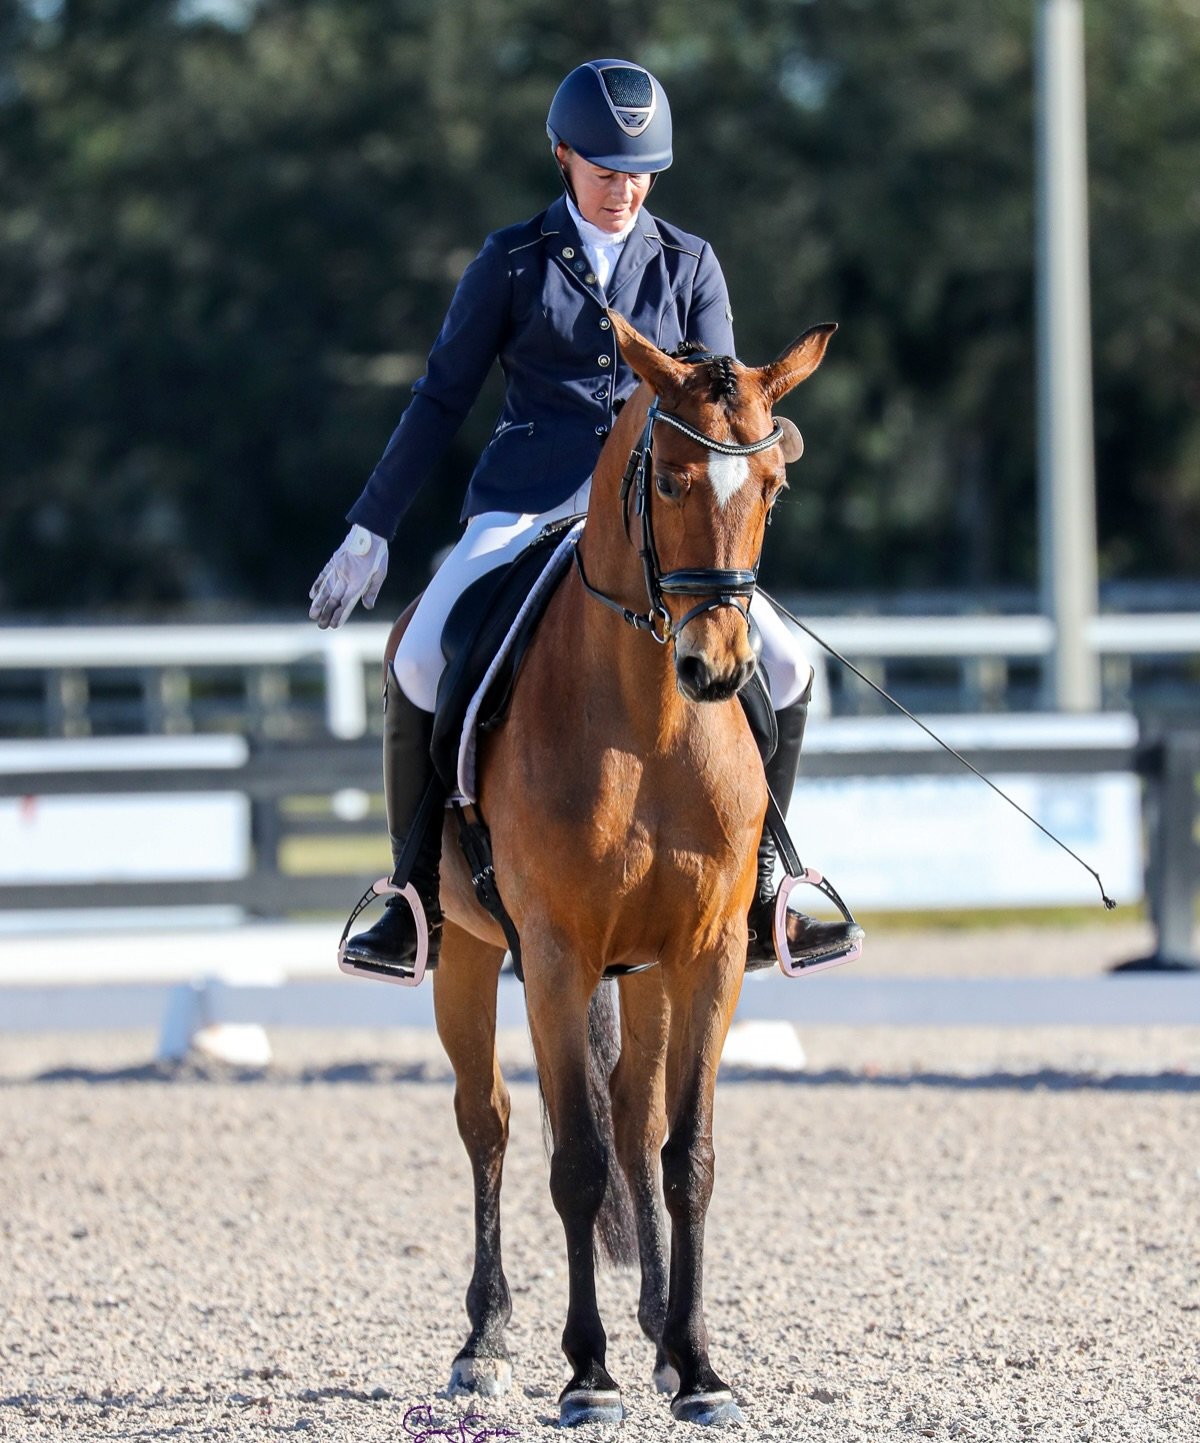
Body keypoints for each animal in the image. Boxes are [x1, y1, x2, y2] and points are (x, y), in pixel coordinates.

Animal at [421, 312, 836, 1427]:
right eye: (673, 482)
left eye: (770, 489)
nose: (716, 670)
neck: (650, 721)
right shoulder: (557, 958)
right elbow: (576, 1157)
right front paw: (587, 1374)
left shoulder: (707, 955)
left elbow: (684, 1154)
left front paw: (696, 1367)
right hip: (467, 953)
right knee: (488, 1122)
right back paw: (485, 1343)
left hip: (646, 972)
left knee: (638, 1114)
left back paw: (654, 1326)